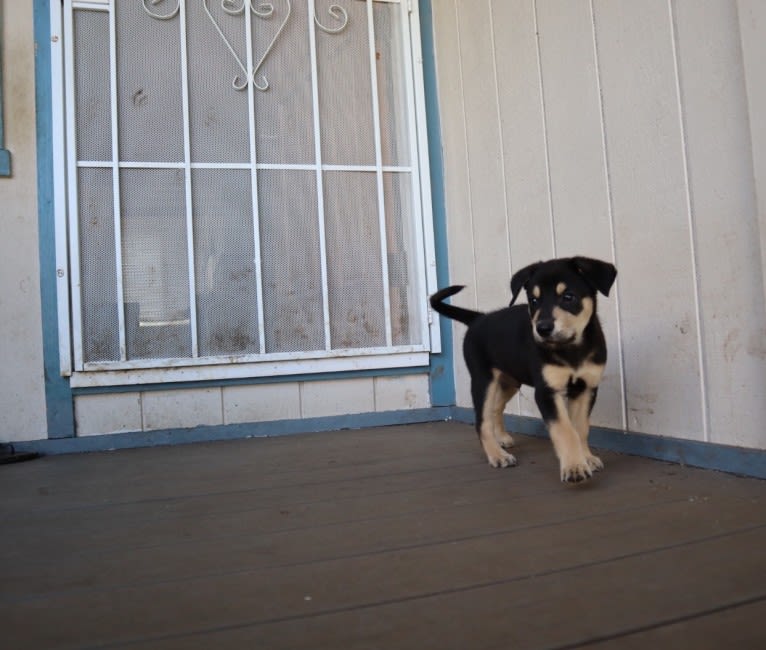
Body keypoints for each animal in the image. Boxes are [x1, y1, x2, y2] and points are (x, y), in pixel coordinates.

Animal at [432, 254, 616, 480]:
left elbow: (580, 428)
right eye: (533, 301)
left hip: (510, 381)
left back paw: (501, 439)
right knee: (482, 421)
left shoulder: (586, 389)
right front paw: (574, 467)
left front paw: (586, 458)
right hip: (483, 380)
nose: (542, 328)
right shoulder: (546, 392)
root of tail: (479, 318)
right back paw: (497, 455)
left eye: (568, 297)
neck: (571, 349)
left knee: (495, 408)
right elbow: (564, 430)